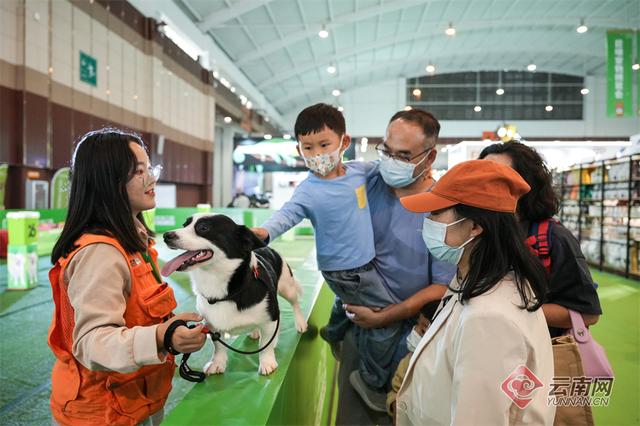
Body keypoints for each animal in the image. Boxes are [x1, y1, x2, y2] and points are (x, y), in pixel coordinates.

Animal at [161, 215, 308, 374]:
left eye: (203, 228)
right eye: (184, 224)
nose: (166, 236)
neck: (225, 292)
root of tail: (267, 247)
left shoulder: (271, 317)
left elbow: (266, 345)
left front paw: (267, 362)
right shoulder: (212, 326)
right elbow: (218, 346)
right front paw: (217, 363)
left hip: (287, 287)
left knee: (295, 303)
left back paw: (300, 323)